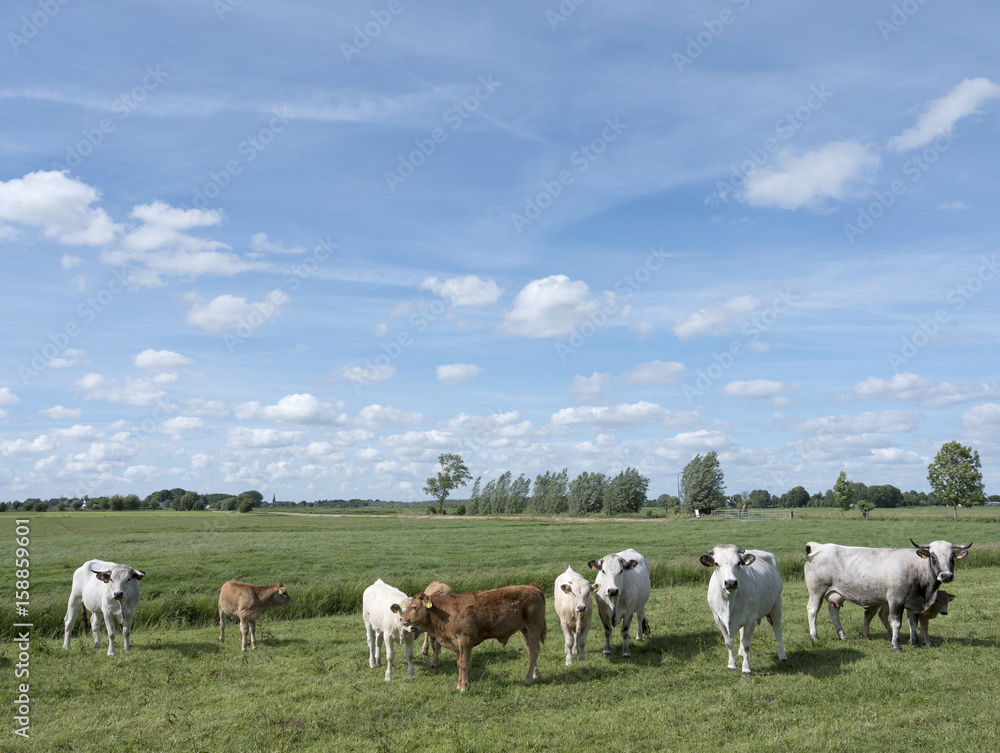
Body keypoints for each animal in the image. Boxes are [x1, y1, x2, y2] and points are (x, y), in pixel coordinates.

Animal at [392, 580, 548, 692]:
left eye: (413, 607)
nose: (401, 618)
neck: (446, 612)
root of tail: (532, 587)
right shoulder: (457, 644)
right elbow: (459, 663)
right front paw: (459, 684)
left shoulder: (465, 641)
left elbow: (464, 663)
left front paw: (464, 686)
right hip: (525, 631)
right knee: (530, 651)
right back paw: (535, 673)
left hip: (534, 628)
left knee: (534, 652)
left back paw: (528, 678)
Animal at [700, 544, 784, 672]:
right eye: (716, 563)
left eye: (739, 563)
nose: (730, 582)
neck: (729, 602)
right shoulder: (718, 619)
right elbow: (729, 642)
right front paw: (731, 665)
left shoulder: (751, 619)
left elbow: (746, 645)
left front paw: (746, 668)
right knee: (741, 632)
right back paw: (739, 653)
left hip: (776, 604)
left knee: (777, 630)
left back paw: (782, 655)